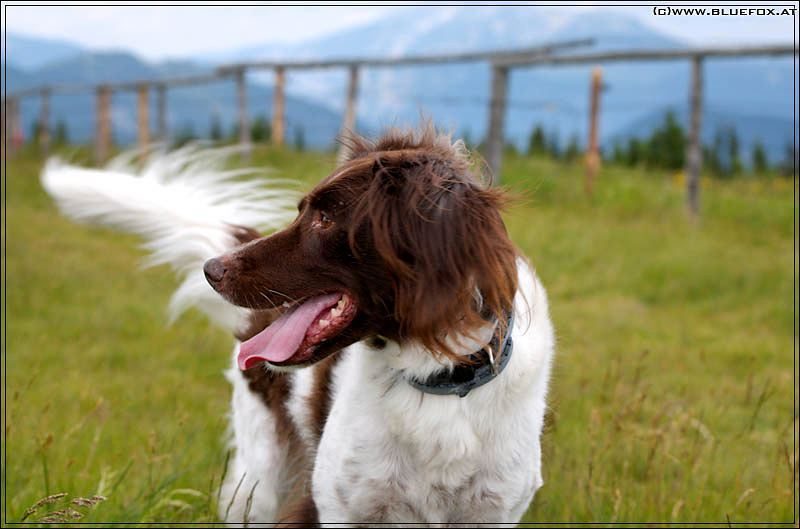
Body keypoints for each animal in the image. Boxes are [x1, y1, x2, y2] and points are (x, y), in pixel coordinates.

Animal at [42, 127, 555, 526]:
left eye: (325, 219)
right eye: (302, 210)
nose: (212, 270)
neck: (435, 379)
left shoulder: (493, 513)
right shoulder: (336, 508)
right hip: (259, 482)